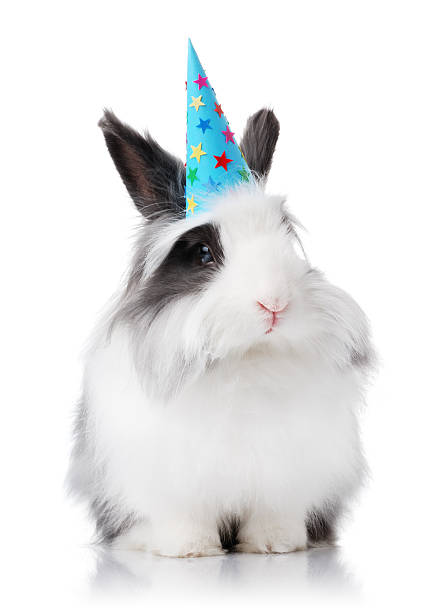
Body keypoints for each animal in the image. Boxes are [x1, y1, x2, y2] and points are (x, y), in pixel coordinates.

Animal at [68, 107, 374, 556]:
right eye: (203, 254)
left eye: (285, 240)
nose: (275, 303)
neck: (245, 359)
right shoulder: (169, 478)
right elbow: (183, 516)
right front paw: (190, 549)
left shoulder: (286, 472)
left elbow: (274, 512)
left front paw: (275, 545)